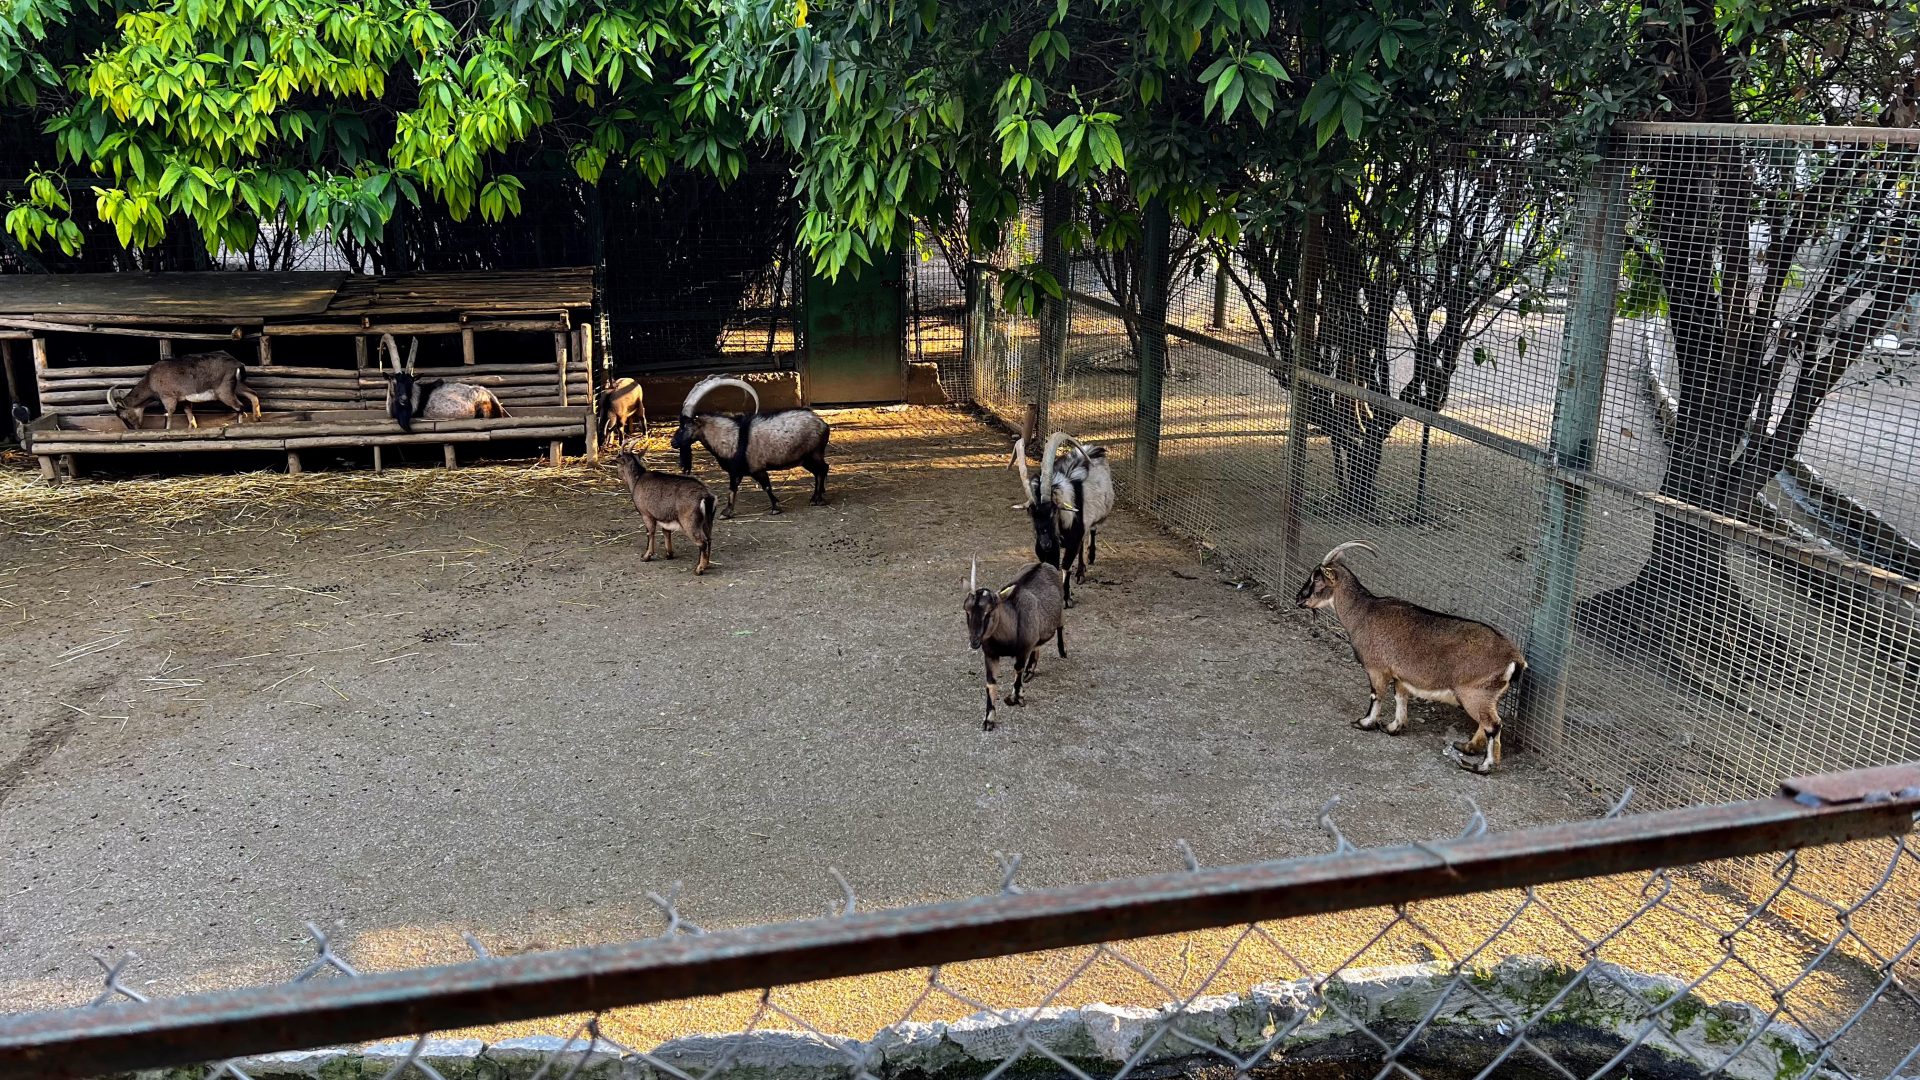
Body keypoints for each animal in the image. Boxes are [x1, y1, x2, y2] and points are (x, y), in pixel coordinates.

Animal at [109, 352, 261, 431]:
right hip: (237, 385)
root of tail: (237, 363)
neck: (150, 381)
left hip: (224, 391)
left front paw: (167, 429)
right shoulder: (185, 400)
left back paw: (239, 424)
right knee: (253, 394)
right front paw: (191, 427)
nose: (134, 428)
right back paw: (257, 418)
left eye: (123, 416)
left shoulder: (168, 396)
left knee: (239, 406)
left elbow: (169, 413)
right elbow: (189, 413)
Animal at [671, 375, 829, 517]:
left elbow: (766, 486)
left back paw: (817, 499)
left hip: (813, 453)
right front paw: (726, 513)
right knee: (820, 471)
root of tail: (823, 424)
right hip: (804, 459)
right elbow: (732, 489)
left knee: (822, 469)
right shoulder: (735, 472)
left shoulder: (757, 468)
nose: (673, 443)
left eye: (684, 426)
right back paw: (819, 495)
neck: (735, 438)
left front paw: (776, 508)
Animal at [963, 559, 1067, 731]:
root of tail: (1043, 563)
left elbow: (1018, 669)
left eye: (989, 612)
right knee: (1038, 646)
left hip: (1059, 613)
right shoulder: (990, 654)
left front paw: (1016, 697)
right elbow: (991, 683)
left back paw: (1062, 651)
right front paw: (988, 720)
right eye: (967, 610)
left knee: (1060, 626)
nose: (974, 641)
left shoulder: (1023, 649)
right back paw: (1030, 671)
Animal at [1012, 432, 1115, 606]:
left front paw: (1066, 598)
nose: (1044, 544)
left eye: (1053, 511)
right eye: (1031, 514)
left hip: (1096, 516)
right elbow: (1052, 566)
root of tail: (1092, 448)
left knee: (1092, 532)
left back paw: (1086, 564)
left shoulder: (1073, 538)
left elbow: (1066, 566)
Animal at [1295, 541, 1525, 774]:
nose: (1299, 598)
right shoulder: (1400, 676)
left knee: (1493, 725)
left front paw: (1364, 723)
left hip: (1474, 693)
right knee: (1487, 724)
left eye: (1316, 578)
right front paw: (1392, 727)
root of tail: (1515, 659)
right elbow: (1400, 698)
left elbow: (1376, 695)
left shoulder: (1377, 668)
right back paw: (1467, 747)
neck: (1363, 613)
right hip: (1488, 697)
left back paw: (1481, 765)